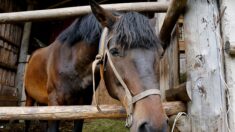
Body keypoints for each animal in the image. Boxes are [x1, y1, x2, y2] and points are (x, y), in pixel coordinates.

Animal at [24, 0, 169, 131]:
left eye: (161, 53)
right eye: (114, 51)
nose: (155, 126)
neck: (72, 65)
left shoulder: (83, 105)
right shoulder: (55, 104)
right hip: (29, 98)